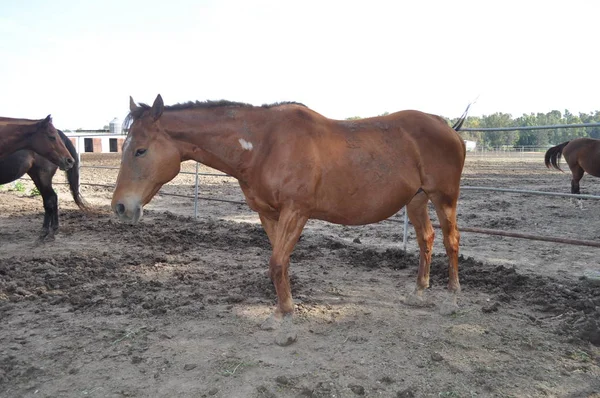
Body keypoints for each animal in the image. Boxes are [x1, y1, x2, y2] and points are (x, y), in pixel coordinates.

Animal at [112, 95, 468, 328]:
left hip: (444, 197)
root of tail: (447, 127)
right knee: (426, 239)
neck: (264, 145)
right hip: (416, 200)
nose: (120, 207)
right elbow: (279, 264)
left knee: (451, 241)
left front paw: (284, 320)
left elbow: (277, 263)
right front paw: (285, 309)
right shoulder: (268, 214)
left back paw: (452, 298)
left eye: (141, 150)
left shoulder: (296, 211)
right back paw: (419, 292)